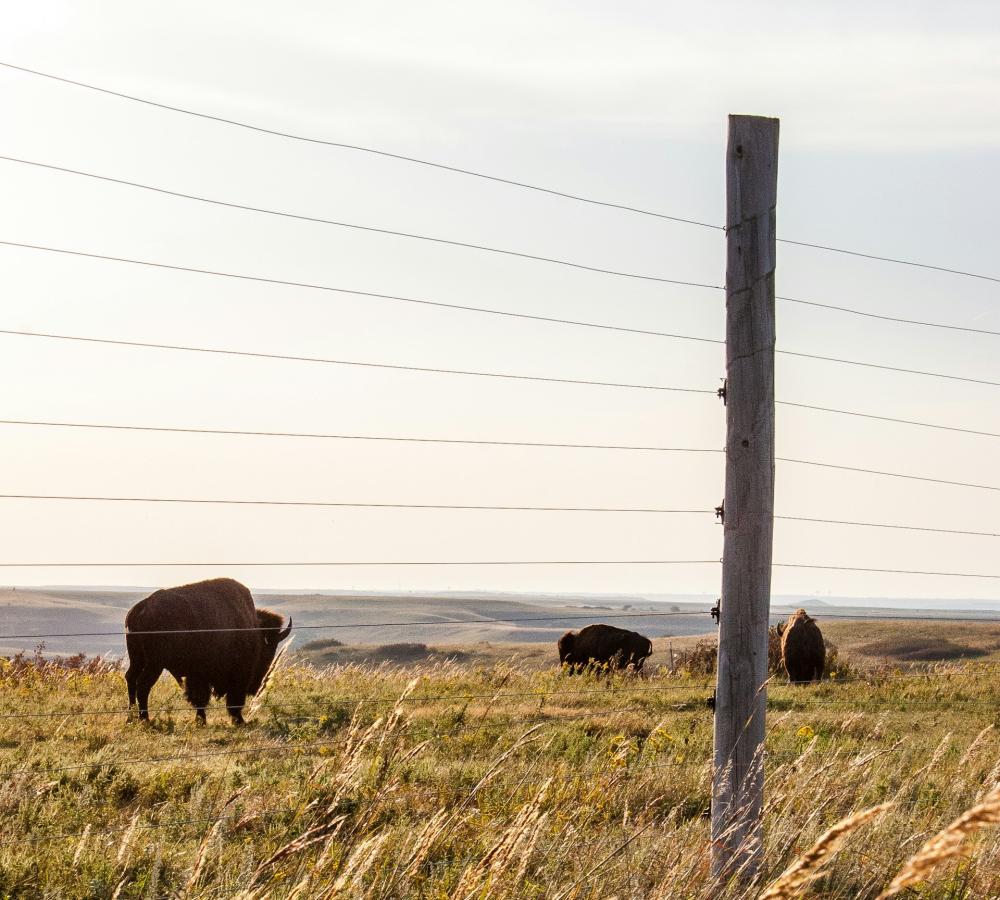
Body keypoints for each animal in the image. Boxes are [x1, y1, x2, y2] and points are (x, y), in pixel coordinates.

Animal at [125, 578, 291, 724]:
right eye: (267, 650)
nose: (258, 686)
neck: (253, 629)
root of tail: (141, 608)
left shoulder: (197, 674)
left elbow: (199, 698)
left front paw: (201, 720)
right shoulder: (234, 675)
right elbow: (228, 699)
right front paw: (238, 721)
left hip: (137, 659)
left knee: (131, 678)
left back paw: (131, 717)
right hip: (155, 664)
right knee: (143, 685)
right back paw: (145, 719)